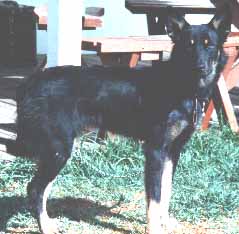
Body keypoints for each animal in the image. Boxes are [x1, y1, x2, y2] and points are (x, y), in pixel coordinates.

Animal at [12, 5, 231, 234]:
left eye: (209, 45)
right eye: (188, 46)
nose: (200, 68)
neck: (183, 86)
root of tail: (30, 83)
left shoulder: (173, 151)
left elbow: (166, 190)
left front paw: (165, 221)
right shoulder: (155, 151)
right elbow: (154, 199)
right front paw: (155, 227)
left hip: (55, 151)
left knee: (42, 188)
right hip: (59, 149)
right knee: (35, 188)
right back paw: (45, 226)